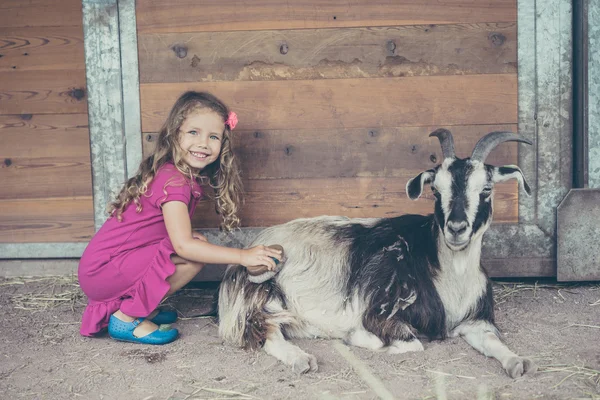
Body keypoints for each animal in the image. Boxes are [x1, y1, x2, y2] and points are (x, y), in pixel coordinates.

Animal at [218, 130, 536, 378]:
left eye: (486, 189)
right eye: (435, 191)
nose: (456, 228)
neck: (451, 276)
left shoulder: (475, 321)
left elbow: (494, 342)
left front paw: (518, 362)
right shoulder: (379, 311)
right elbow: (411, 344)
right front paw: (355, 336)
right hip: (263, 294)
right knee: (266, 332)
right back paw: (302, 360)